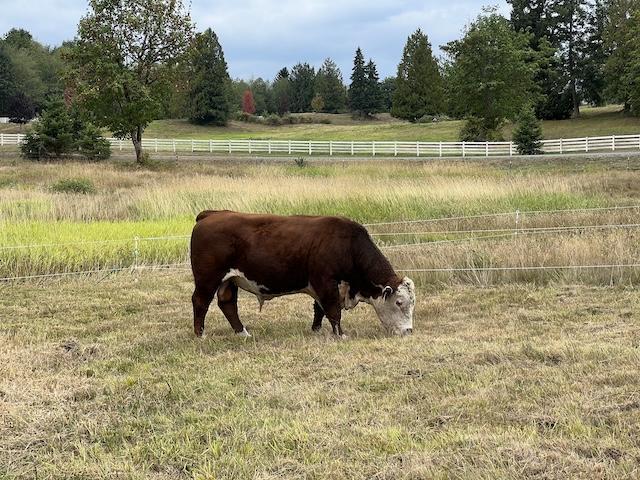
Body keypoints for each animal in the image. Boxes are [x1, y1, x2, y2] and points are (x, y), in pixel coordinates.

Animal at [190, 210, 416, 338]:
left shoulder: (323, 286)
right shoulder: (326, 282)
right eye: (399, 302)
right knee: (200, 302)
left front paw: (316, 330)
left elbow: (319, 310)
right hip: (208, 278)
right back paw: (200, 335)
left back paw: (242, 333)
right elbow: (333, 310)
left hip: (229, 281)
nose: (409, 331)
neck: (348, 246)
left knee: (227, 304)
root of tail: (211, 215)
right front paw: (340, 335)